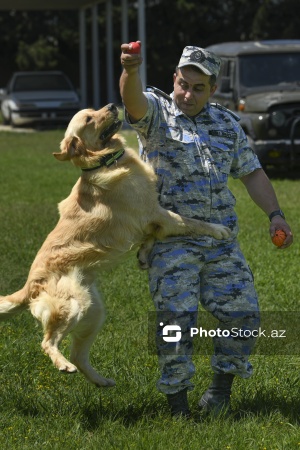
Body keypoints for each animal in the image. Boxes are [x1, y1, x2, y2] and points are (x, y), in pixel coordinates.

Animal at [0, 104, 230, 386]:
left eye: (93, 109)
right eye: (89, 118)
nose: (112, 105)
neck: (108, 160)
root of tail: (29, 285)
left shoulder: (150, 218)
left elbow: (151, 236)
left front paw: (143, 254)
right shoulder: (157, 212)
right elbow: (193, 222)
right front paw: (218, 230)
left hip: (94, 312)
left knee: (78, 354)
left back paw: (101, 381)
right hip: (72, 306)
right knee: (48, 343)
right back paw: (63, 365)